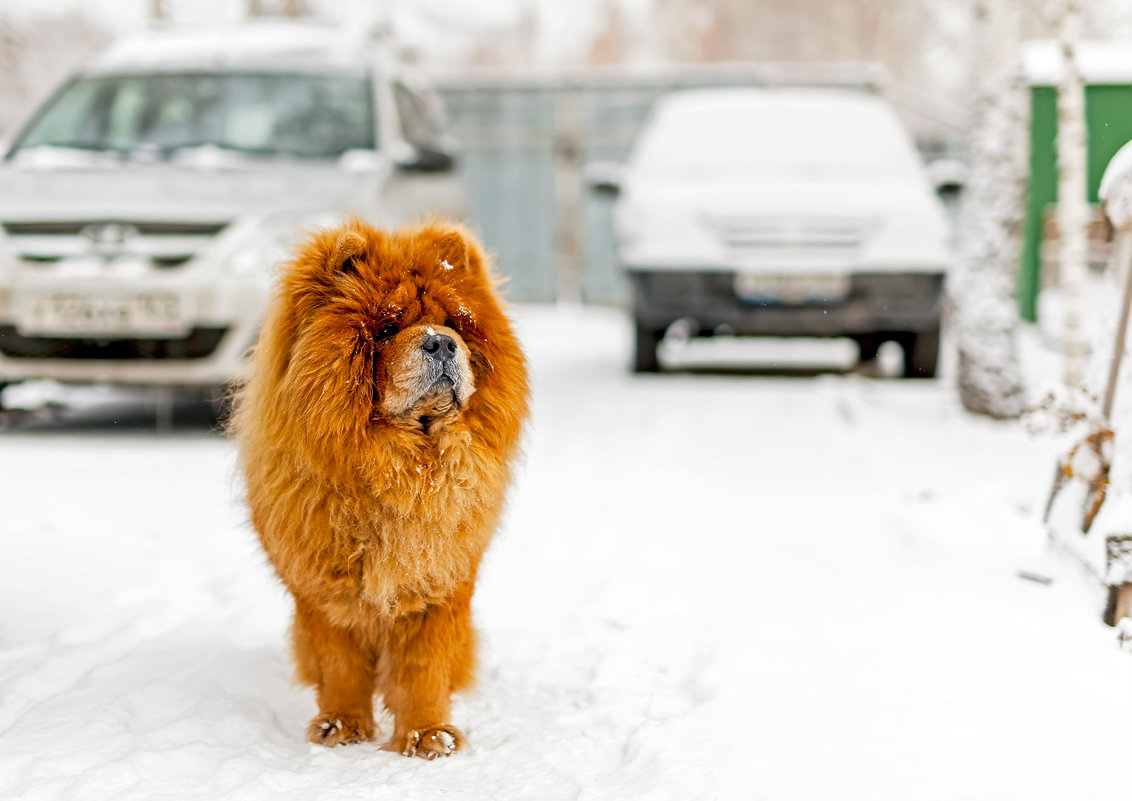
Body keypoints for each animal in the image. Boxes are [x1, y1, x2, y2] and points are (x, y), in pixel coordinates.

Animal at [232, 217, 532, 755]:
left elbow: (422, 670)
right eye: (388, 329)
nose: (440, 342)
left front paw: (429, 735)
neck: (404, 471)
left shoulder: (436, 587)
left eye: (453, 325)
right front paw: (340, 727)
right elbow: (340, 667)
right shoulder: (325, 594)